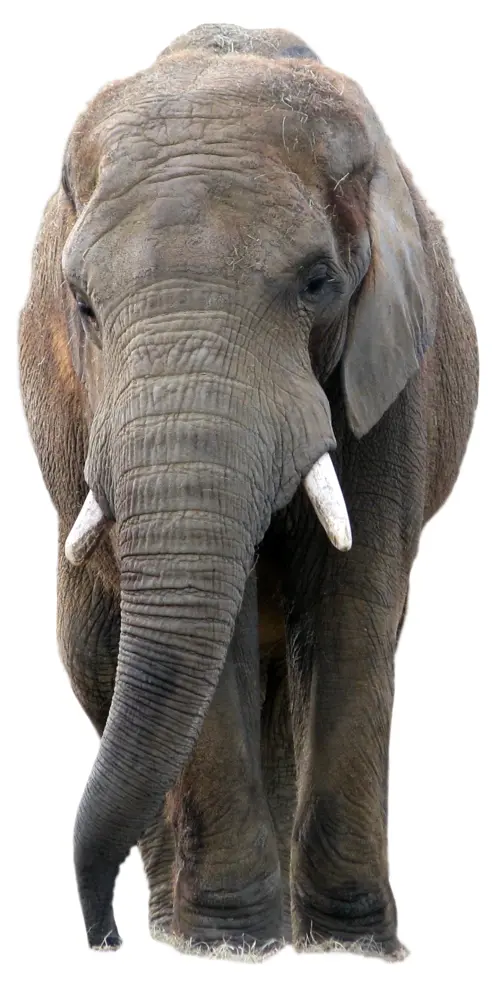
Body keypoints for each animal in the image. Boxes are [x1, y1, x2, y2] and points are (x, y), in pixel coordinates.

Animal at [19, 22, 478, 960]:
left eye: (318, 282)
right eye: (81, 304)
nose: (99, 938)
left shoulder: (389, 374)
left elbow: (352, 606)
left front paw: (355, 952)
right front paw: (228, 947)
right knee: (105, 663)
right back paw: (177, 934)